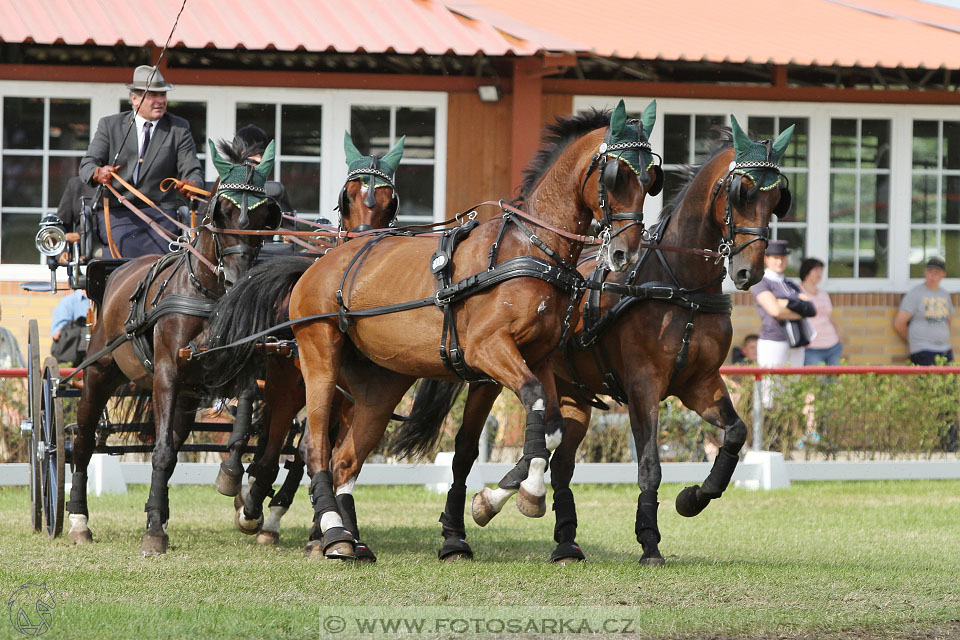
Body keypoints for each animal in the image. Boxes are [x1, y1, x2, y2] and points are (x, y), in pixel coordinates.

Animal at [65, 138, 284, 552]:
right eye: (222, 211)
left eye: (266, 214)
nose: (237, 278)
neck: (209, 294)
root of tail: (119, 269)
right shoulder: (166, 372)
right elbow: (162, 451)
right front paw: (153, 532)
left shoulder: (237, 364)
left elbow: (245, 408)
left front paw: (232, 476)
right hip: (100, 372)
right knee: (83, 440)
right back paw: (78, 519)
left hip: (186, 393)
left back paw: (159, 509)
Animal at [206, 132, 404, 544]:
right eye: (348, 196)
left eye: (389, 201)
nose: (366, 242)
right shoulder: (290, 379)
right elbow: (281, 445)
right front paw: (254, 503)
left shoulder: (352, 398)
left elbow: (323, 451)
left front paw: (323, 523)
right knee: (268, 435)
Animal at [282, 100, 660, 560]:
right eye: (615, 175)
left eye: (651, 179)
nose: (625, 253)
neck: (530, 248)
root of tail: (326, 259)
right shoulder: (488, 350)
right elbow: (533, 402)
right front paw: (526, 495)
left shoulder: (536, 357)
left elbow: (548, 426)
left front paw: (497, 500)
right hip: (320, 356)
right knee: (316, 445)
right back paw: (333, 532)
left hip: (379, 386)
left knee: (345, 459)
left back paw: (349, 537)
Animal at [396, 117, 796, 564]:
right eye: (743, 191)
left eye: (778, 197)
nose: (749, 272)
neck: (681, 285)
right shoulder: (643, 384)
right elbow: (650, 463)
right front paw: (649, 541)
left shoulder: (700, 382)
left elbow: (736, 433)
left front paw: (695, 497)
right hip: (490, 377)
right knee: (468, 450)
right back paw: (467, 526)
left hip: (572, 393)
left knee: (559, 459)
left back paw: (561, 538)